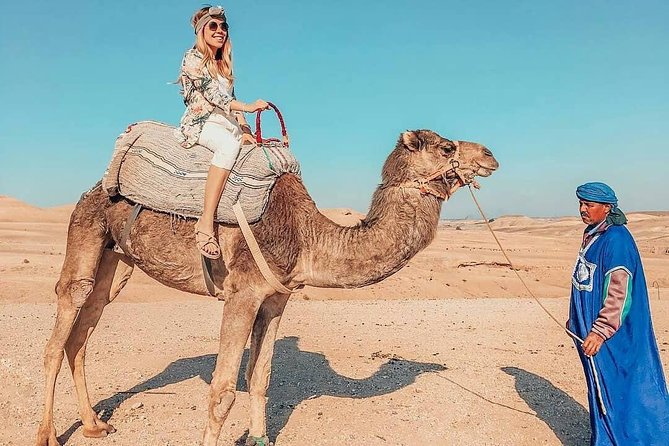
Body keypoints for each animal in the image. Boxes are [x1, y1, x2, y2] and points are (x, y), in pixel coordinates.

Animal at [35, 129, 498, 446]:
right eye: (447, 147)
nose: (491, 154)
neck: (306, 235)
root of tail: (95, 187)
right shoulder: (243, 293)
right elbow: (223, 391)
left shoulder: (276, 298)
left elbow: (260, 378)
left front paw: (258, 436)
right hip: (85, 231)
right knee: (61, 329)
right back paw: (47, 435)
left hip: (116, 260)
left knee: (84, 329)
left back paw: (94, 425)